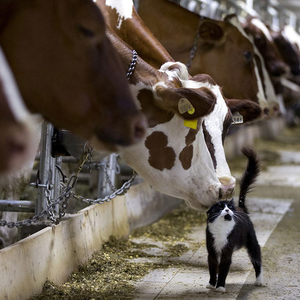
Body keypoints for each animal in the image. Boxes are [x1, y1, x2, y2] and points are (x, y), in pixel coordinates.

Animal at [206, 146, 262, 292]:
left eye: (229, 207)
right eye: (220, 207)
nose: (227, 210)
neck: (221, 228)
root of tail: (242, 209)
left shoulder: (227, 251)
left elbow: (223, 269)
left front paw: (220, 286)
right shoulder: (212, 251)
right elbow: (213, 268)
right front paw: (211, 284)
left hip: (252, 243)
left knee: (257, 261)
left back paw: (259, 281)